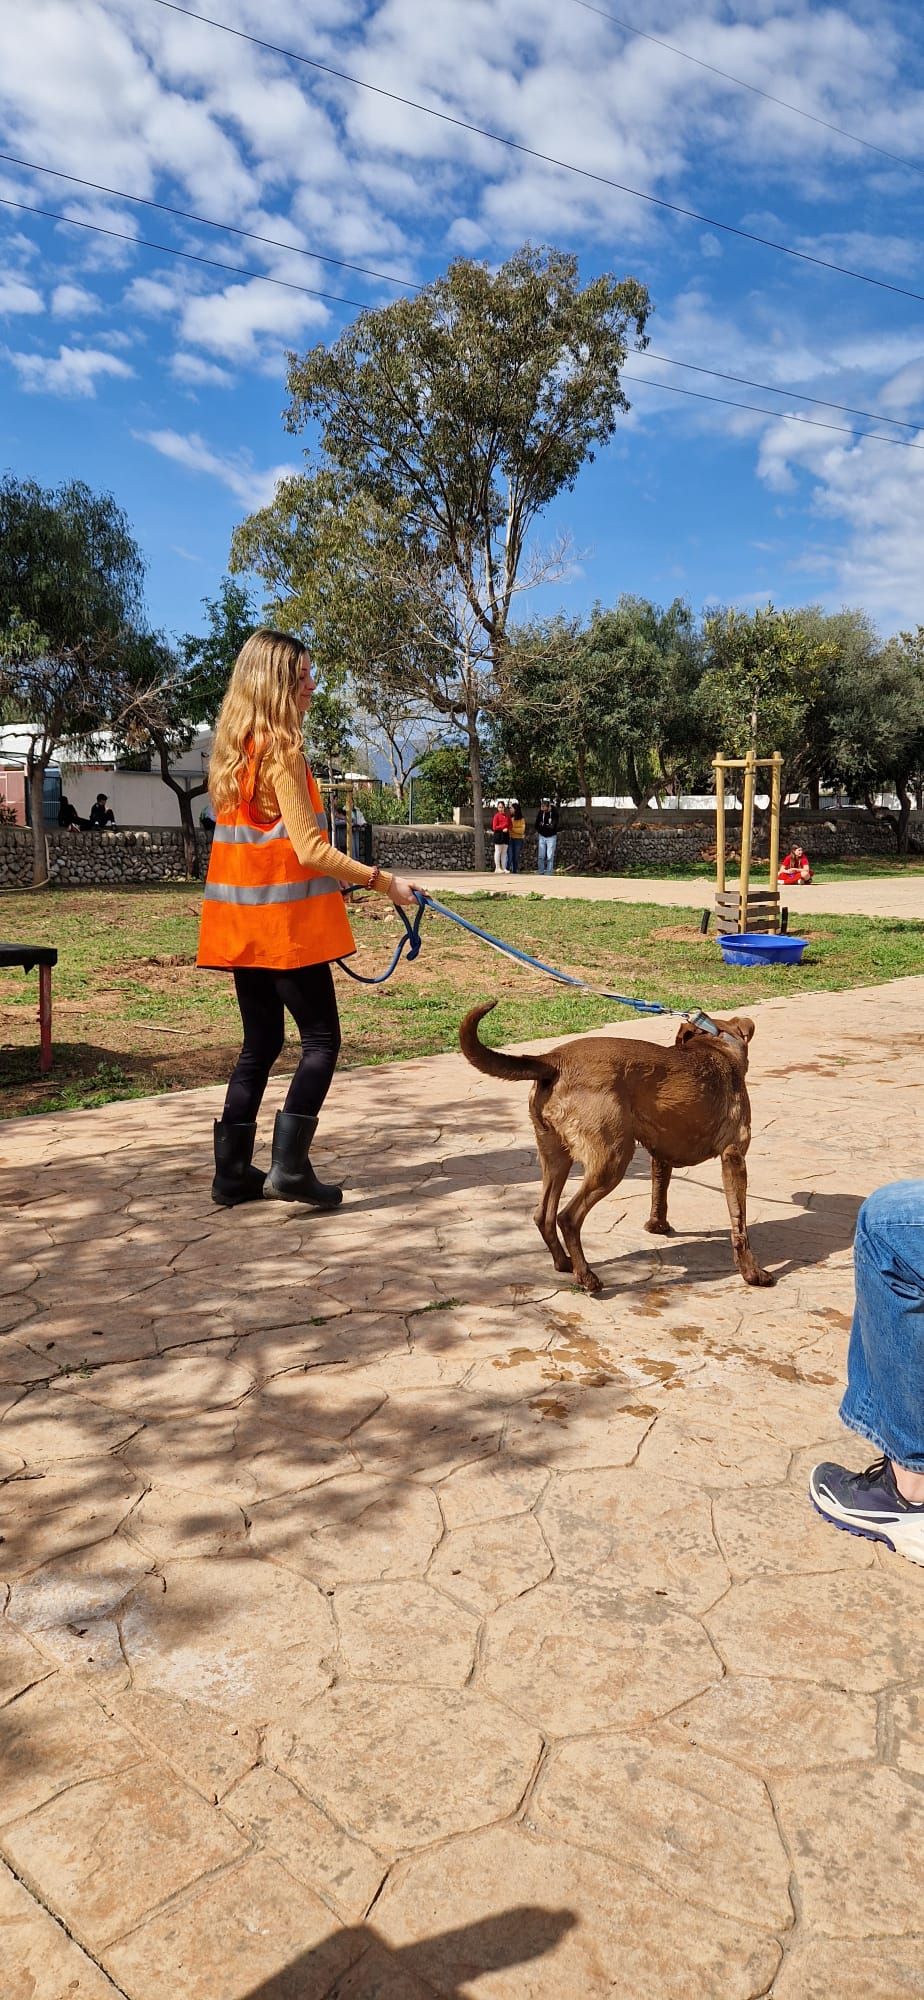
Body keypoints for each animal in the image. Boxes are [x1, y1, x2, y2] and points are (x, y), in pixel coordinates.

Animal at [456, 1000, 772, 1296]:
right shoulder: (734, 1156)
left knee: (543, 1214)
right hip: (613, 1159)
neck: (717, 1044)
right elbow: (739, 1224)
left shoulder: (661, 1154)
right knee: (567, 1218)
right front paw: (752, 1273)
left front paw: (657, 1226)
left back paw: (565, 1263)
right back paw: (587, 1277)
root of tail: (552, 1060)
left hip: (555, 1156)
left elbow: (659, 1193)